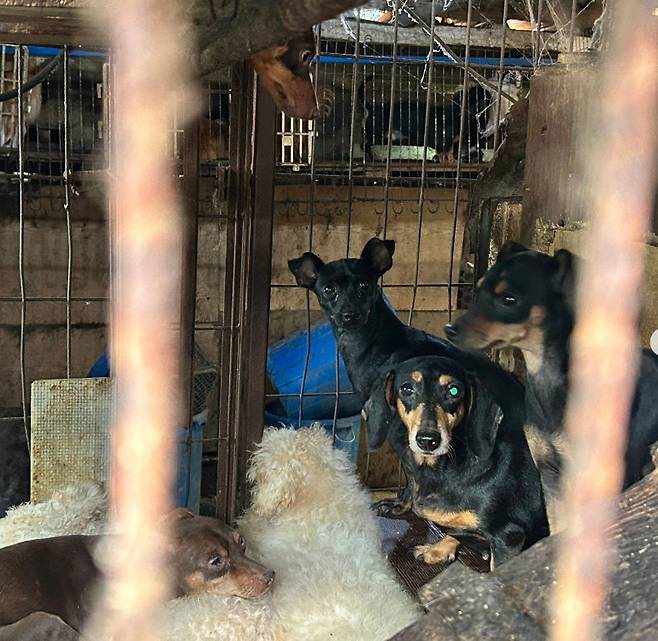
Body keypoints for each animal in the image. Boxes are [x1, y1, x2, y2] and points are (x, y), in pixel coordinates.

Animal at [362, 352, 544, 568]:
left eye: (454, 390)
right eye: (406, 388)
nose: (428, 441)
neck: (444, 468)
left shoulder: (509, 536)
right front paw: (438, 548)